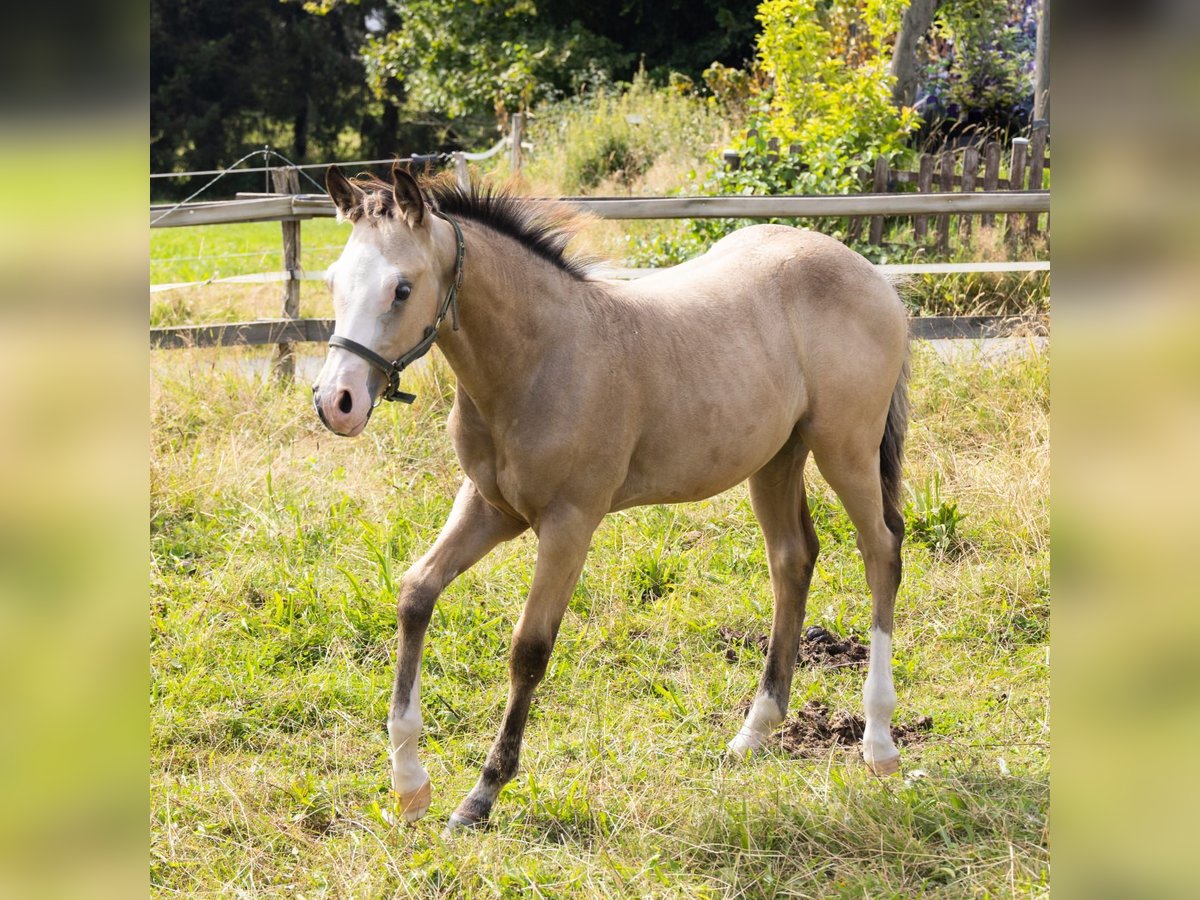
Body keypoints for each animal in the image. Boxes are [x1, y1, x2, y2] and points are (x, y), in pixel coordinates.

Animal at [312, 164, 907, 830]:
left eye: (402, 289)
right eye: (333, 281)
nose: (336, 402)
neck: (539, 357)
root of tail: (869, 274)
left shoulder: (570, 523)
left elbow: (529, 648)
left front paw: (481, 795)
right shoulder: (491, 508)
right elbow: (416, 593)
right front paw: (410, 783)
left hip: (846, 447)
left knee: (881, 551)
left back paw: (879, 742)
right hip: (776, 458)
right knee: (793, 559)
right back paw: (753, 734)